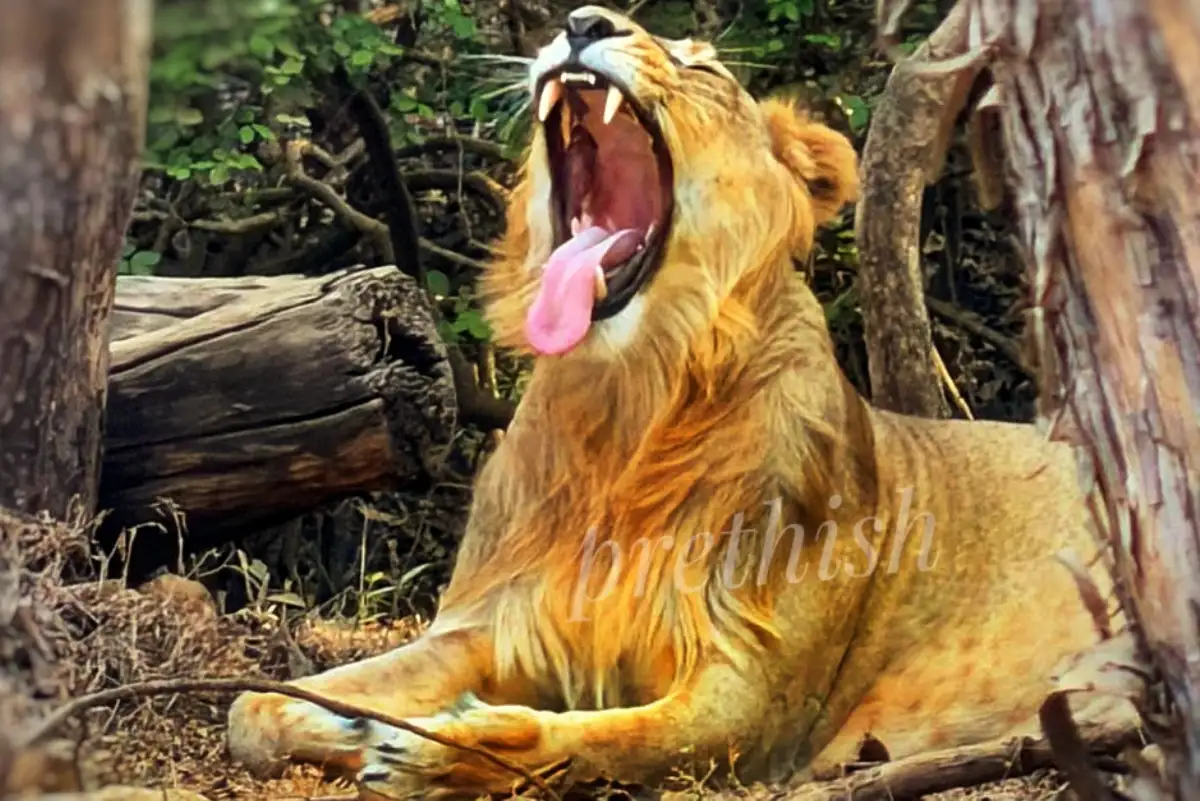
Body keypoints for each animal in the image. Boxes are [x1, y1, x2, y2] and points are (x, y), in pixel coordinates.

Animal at [226, 6, 1131, 798]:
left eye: (703, 68)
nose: (582, 23)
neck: (623, 408)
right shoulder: (487, 624)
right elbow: (255, 708)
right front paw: (341, 720)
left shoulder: (752, 700)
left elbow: (611, 739)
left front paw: (444, 749)